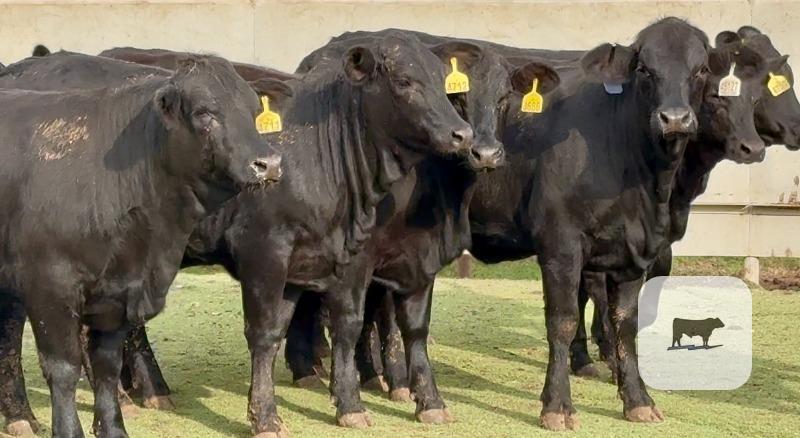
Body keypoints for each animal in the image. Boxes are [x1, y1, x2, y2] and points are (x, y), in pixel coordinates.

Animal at [0, 50, 292, 437]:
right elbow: (63, 370)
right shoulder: (50, 287)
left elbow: (107, 367)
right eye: (205, 113)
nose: (268, 163)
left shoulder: (121, 293)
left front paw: (114, 428)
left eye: (252, 110)